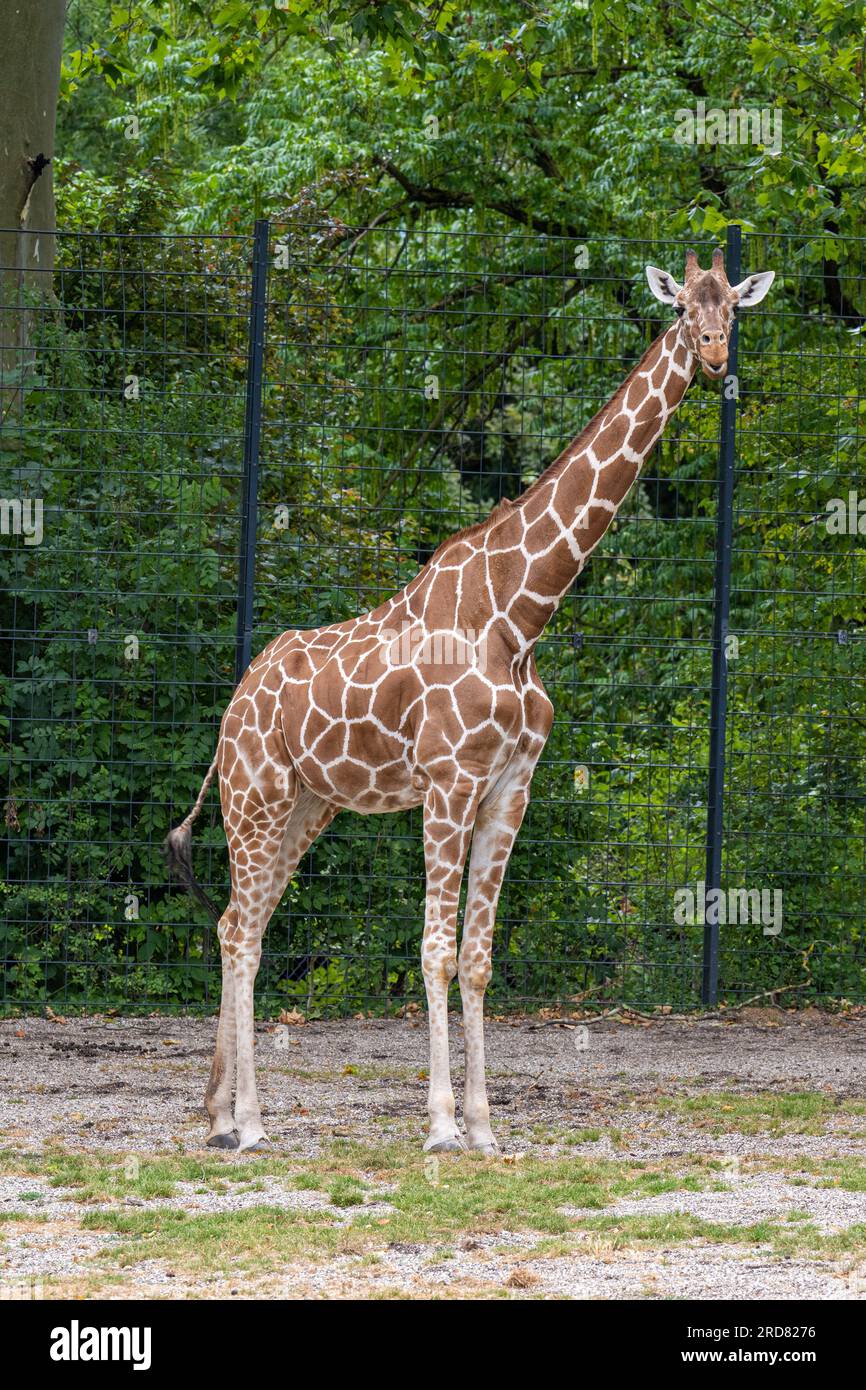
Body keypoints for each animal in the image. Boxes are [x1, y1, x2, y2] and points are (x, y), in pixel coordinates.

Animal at [166, 249, 774, 1154]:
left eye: (733, 306)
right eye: (680, 309)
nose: (711, 354)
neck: (519, 615)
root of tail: (231, 709)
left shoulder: (510, 788)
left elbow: (481, 958)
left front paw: (486, 1126)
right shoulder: (448, 784)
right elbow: (436, 952)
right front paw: (443, 1125)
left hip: (306, 805)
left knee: (243, 923)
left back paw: (218, 1114)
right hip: (256, 796)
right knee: (240, 931)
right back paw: (249, 1123)